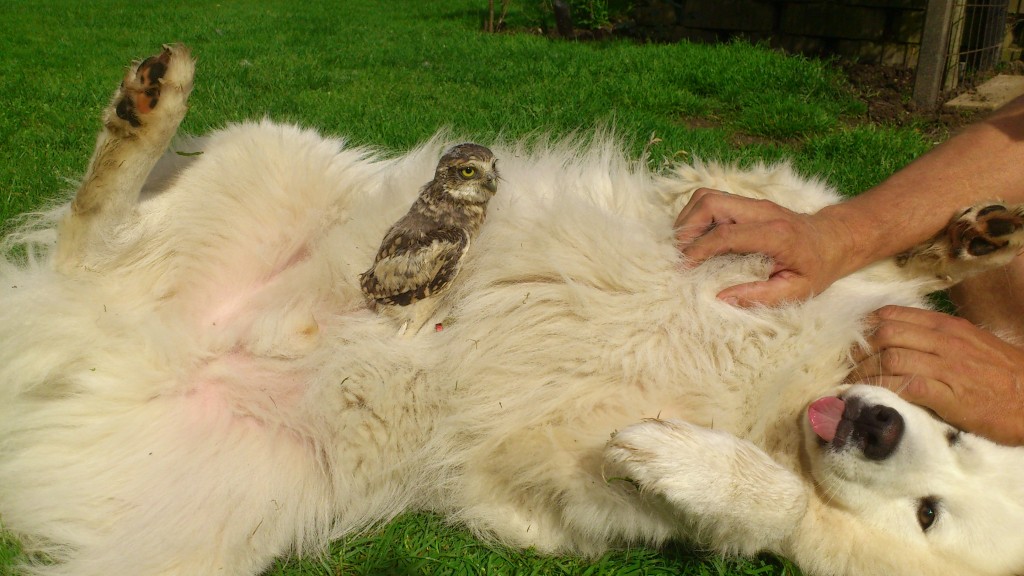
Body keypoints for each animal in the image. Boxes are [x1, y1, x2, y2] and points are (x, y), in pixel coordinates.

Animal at [6, 43, 1024, 573]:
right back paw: (149, 107)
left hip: (208, 527)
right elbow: (805, 217)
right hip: (275, 157)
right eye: (962, 434)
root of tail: (120, 336)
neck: (804, 377)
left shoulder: (576, 494)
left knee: (92, 259)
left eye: (930, 513)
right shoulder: (783, 225)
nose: (873, 427)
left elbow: (768, 508)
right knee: (93, 229)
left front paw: (699, 470)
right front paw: (970, 238)